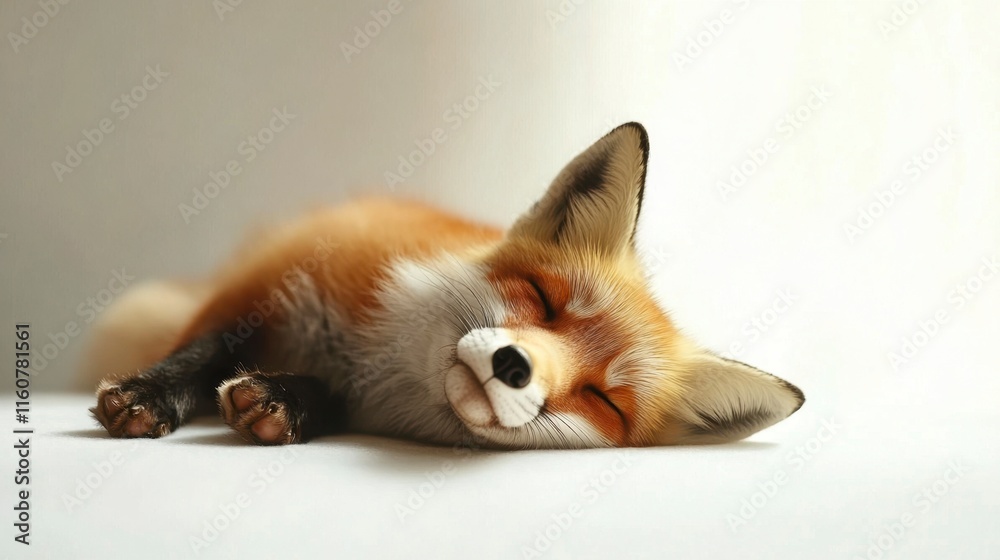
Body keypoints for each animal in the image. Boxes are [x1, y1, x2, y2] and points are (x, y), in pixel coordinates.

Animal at [85, 122, 804, 449]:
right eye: (542, 299)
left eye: (604, 400)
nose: (513, 367)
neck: (365, 354)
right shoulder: (271, 281)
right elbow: (203, 350)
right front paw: (147, 394)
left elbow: (329, 400)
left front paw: (286, 400)